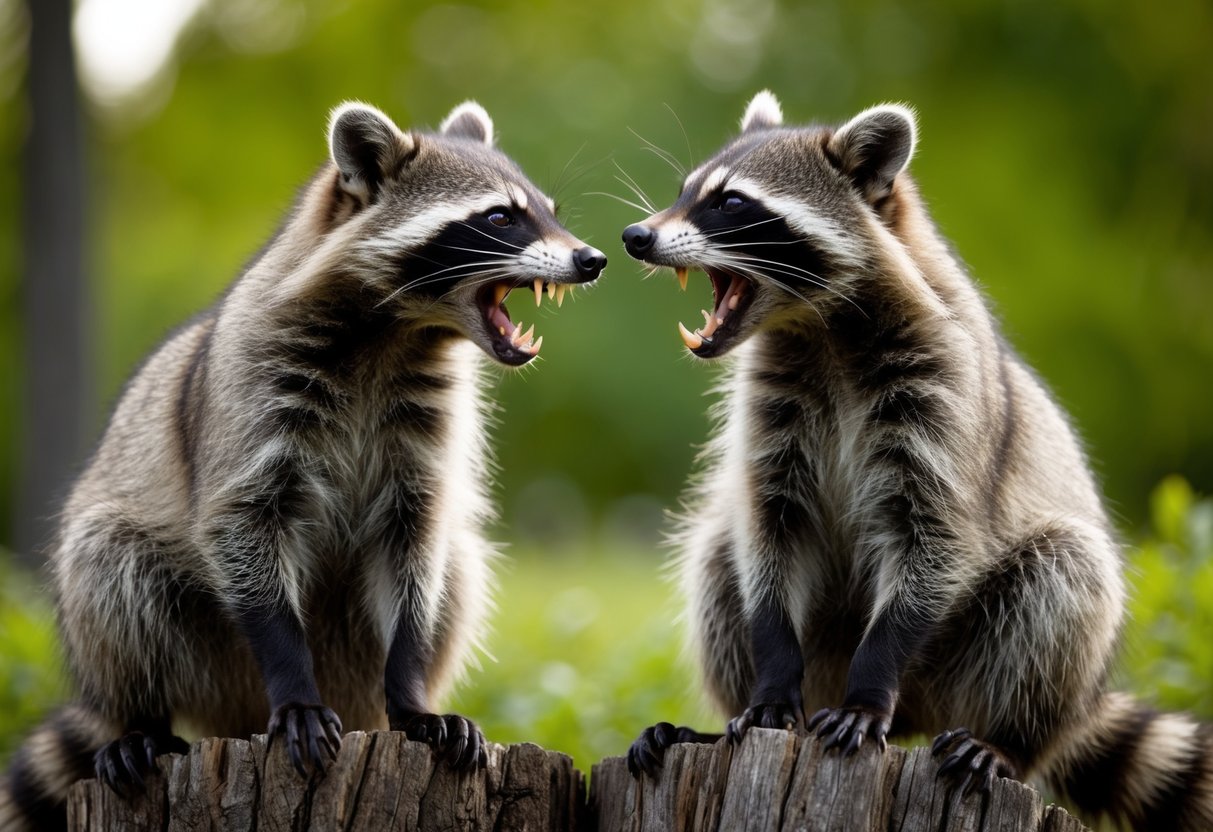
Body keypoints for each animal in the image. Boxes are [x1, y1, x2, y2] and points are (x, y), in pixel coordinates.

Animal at [0, 101, 605, 832]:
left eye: (547, 210)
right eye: (499, 218)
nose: (592, 258)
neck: (399, 332)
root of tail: (235, 716)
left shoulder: (428, 433)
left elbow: (419, 546)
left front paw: (411, 692)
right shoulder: (253, 394)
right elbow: (240, 527)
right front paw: (294, 683)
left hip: (354, 652)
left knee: (458, 565)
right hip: (189, 639)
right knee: (109, 565)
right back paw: (139, 720)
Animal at [621, 91, 1212, 830]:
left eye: (730, 203)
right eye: (685, 193)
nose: (635, 236)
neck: (817, 327)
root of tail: (918, 718)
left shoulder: (942, 397)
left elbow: (935, 541)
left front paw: (870, 685)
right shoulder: (772, 412)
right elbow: (767, 533)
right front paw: (770, 682)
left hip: (973, 670)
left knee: (1065, 574)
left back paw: (1004, 741)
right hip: (821, 651)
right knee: (715, 555)